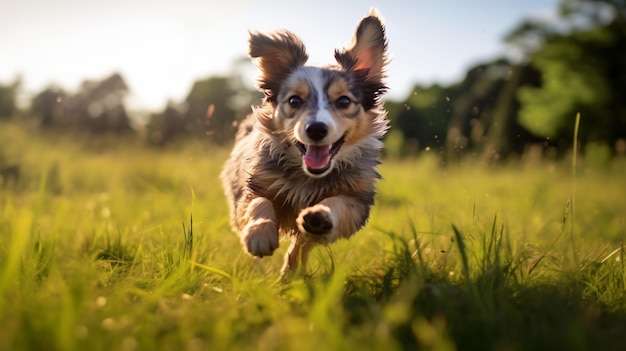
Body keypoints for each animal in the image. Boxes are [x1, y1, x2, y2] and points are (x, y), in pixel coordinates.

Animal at [218, 8, 386, 276]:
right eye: (294, 101)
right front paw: (259, 234)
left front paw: (320, 216)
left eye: (344, 101)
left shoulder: (357, 199)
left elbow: (337, 205)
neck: (308, 177)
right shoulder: (254, 186)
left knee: (302, 243)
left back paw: (292, 271)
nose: (316, 129)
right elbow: (259, 203)